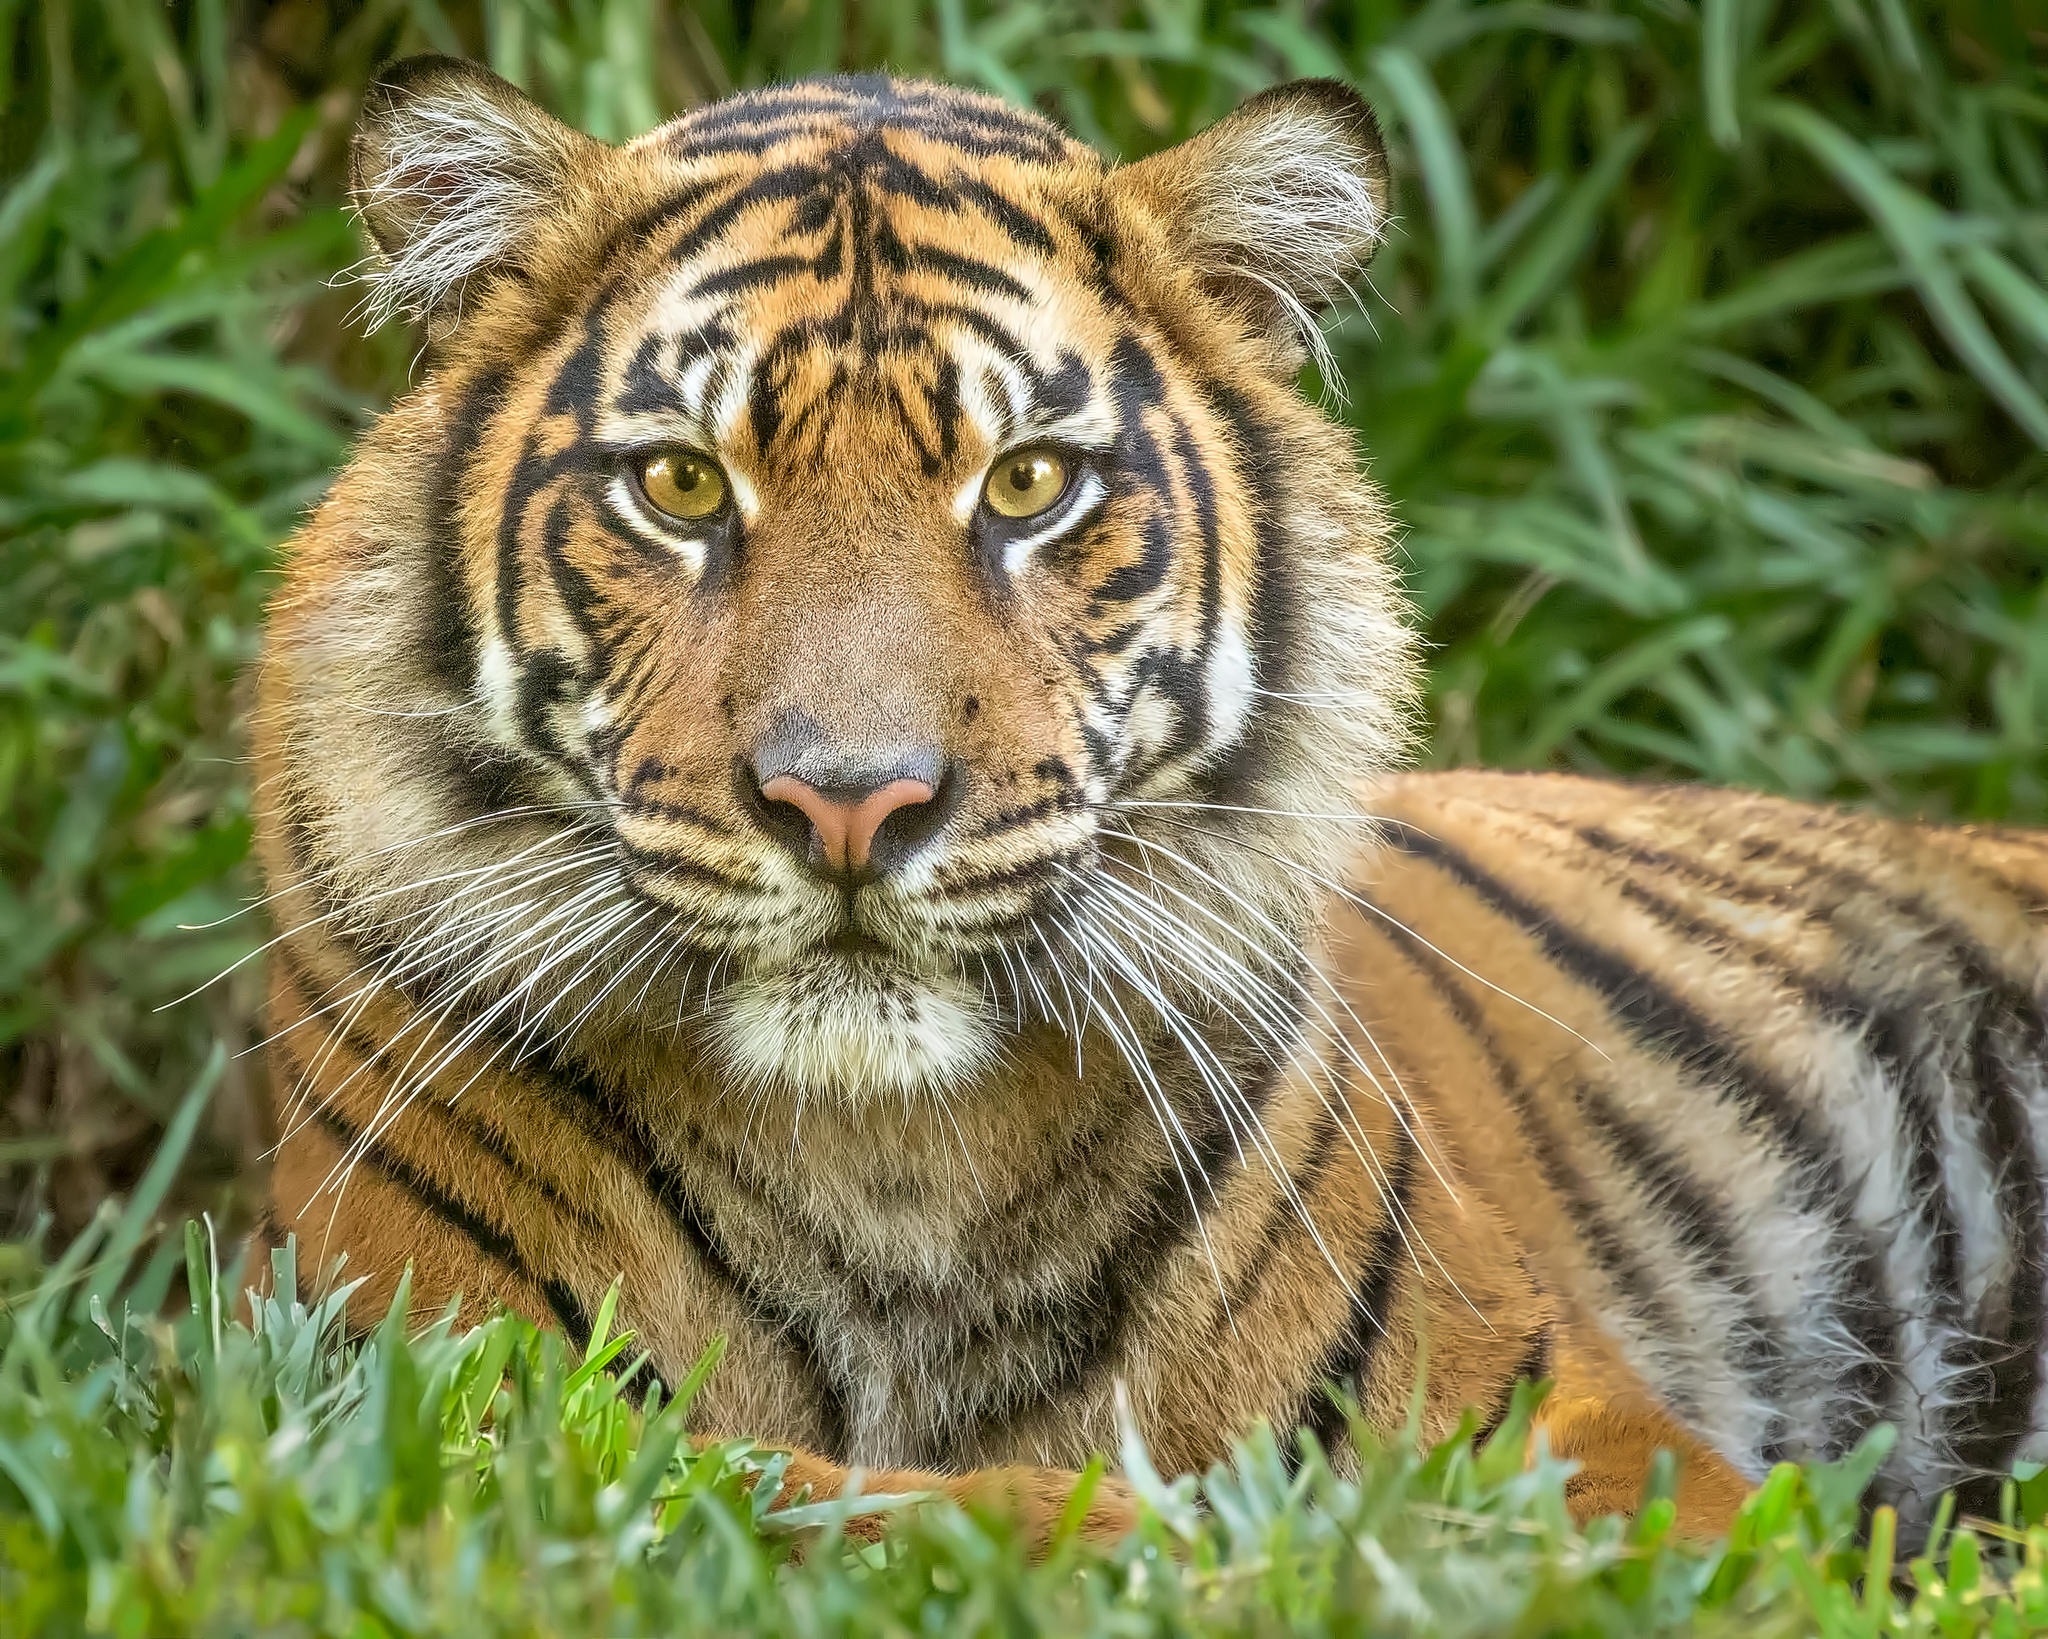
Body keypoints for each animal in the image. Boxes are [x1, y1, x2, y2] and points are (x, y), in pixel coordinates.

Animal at [256, 51, 2048, 1540]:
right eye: (684, 484)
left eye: (1030, 483)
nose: (850, 805)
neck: (888, 1160)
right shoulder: (446, 1388)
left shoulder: (1557, 1411)